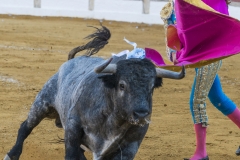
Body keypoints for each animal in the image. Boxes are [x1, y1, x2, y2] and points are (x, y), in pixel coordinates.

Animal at [3, 25, 185, 159]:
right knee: (25, 127)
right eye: (122, 85)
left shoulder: (131, 145)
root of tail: (71, 62)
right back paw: (11, 155)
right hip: (42, 104)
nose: (141, 114)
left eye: (151, 87)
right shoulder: (73, 130)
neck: (114, 120)